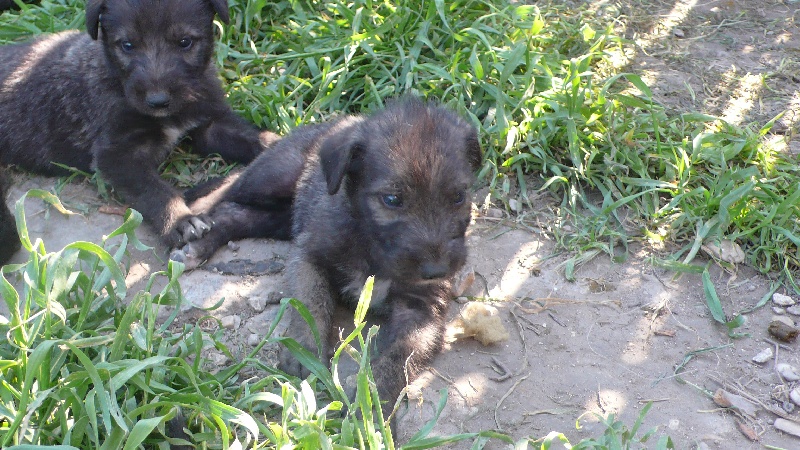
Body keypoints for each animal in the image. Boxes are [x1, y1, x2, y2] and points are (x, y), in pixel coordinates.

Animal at [0, 0, 278, 251]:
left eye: (185, 42)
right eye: (128, 45)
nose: (158, 101)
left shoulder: (210, 121)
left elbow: (250, 137)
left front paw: (278, 144)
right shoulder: (118, 155)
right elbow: (154, 190)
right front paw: (180, 220)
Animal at [172, 98, 481, 417]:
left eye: (459, 197)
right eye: (392, 200)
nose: (437, 269)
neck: (369, 243)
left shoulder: (423, 308)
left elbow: (400, 357)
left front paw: (373, 405)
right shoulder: (309, 256)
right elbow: (312, 302)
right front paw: (304, 350)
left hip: (281, 216)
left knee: (236, 213)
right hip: (272, 177)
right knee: (225, 194)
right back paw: (190, 226)